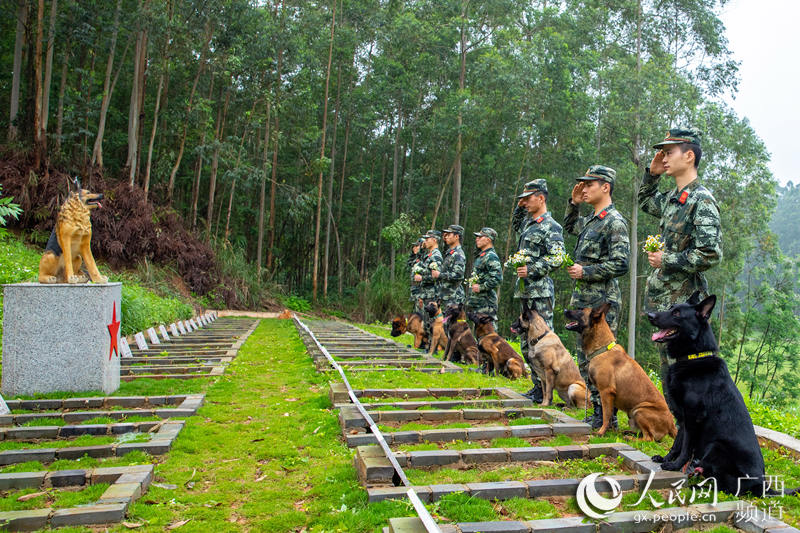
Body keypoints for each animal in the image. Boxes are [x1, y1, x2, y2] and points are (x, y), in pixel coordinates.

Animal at [564, 304, 676, 440]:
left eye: (580, 310)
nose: (565, 310)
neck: (601, 349)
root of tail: (671, 424)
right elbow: (611, 415)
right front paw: (609, 431)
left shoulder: (606, 392)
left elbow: (606, 415)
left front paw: (601, 432)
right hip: (632, 416)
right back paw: (627, 433)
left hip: (639, 411)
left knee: (648, 438)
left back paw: (630, 438)